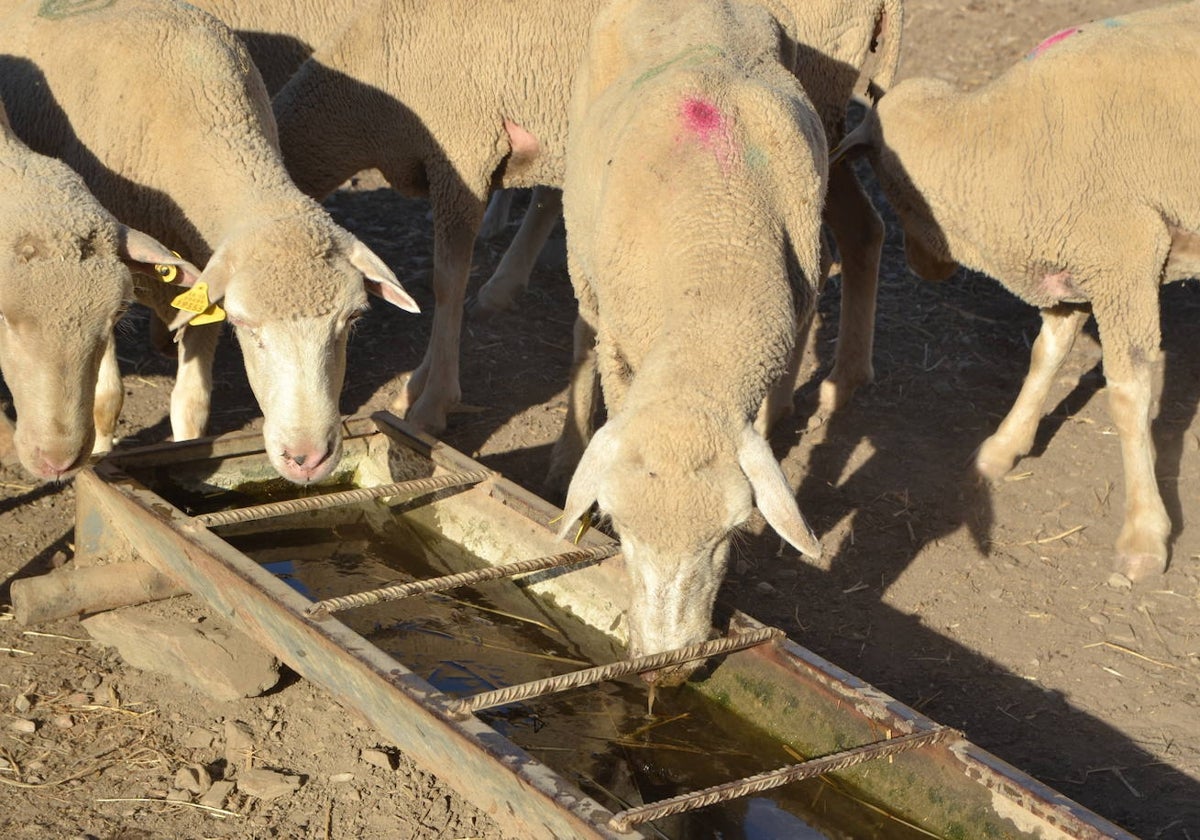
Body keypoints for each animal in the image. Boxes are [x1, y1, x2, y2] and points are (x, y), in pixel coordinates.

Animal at [549, 0, 825, 681]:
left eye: (730, 533)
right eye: (616, 528)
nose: (666, 666)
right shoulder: (623, 343)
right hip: (583, 252)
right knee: (581, 325)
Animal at [830, 3, 1200, 580]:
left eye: (899, 192)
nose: (922, 270)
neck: (1004, 148)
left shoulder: (1125, 260)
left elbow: (1127, 395)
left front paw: (1143, 535)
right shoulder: (1069, 266)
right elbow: (1044, 355)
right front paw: (1002, 449)